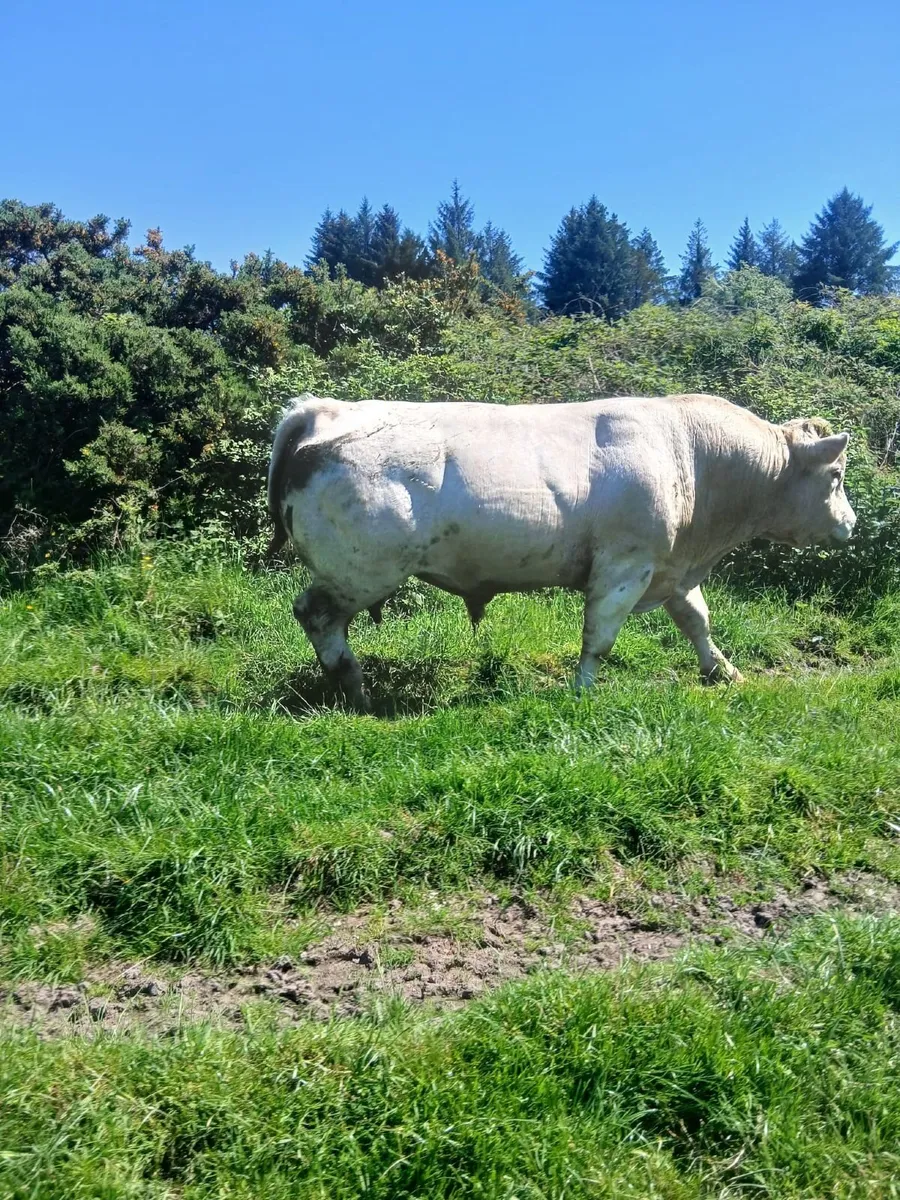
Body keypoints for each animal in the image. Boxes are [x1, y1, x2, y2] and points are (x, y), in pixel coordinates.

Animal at [267, 392, 856, 711]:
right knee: (315, 615)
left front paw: (723, 671)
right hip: (361, 569)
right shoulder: (625, 566)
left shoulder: (670, 568)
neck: (693, 456)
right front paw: (583, 690)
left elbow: (696, 620)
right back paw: (354, 687)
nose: (851, 524)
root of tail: (321, 409)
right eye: (836, 476)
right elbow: (599, 637)